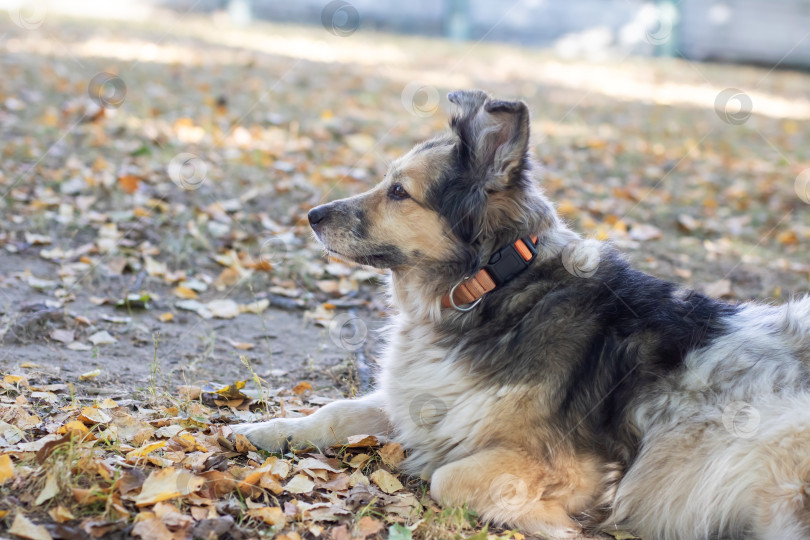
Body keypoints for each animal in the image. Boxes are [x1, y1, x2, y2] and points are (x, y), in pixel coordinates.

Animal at [232, 90, 808, 536]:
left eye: (399, 192)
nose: (312, 215)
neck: (495, 287)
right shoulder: (428, 402)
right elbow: (336, 411)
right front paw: (264, 430)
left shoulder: (576, 465)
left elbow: (447, 478)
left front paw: (553, 524)